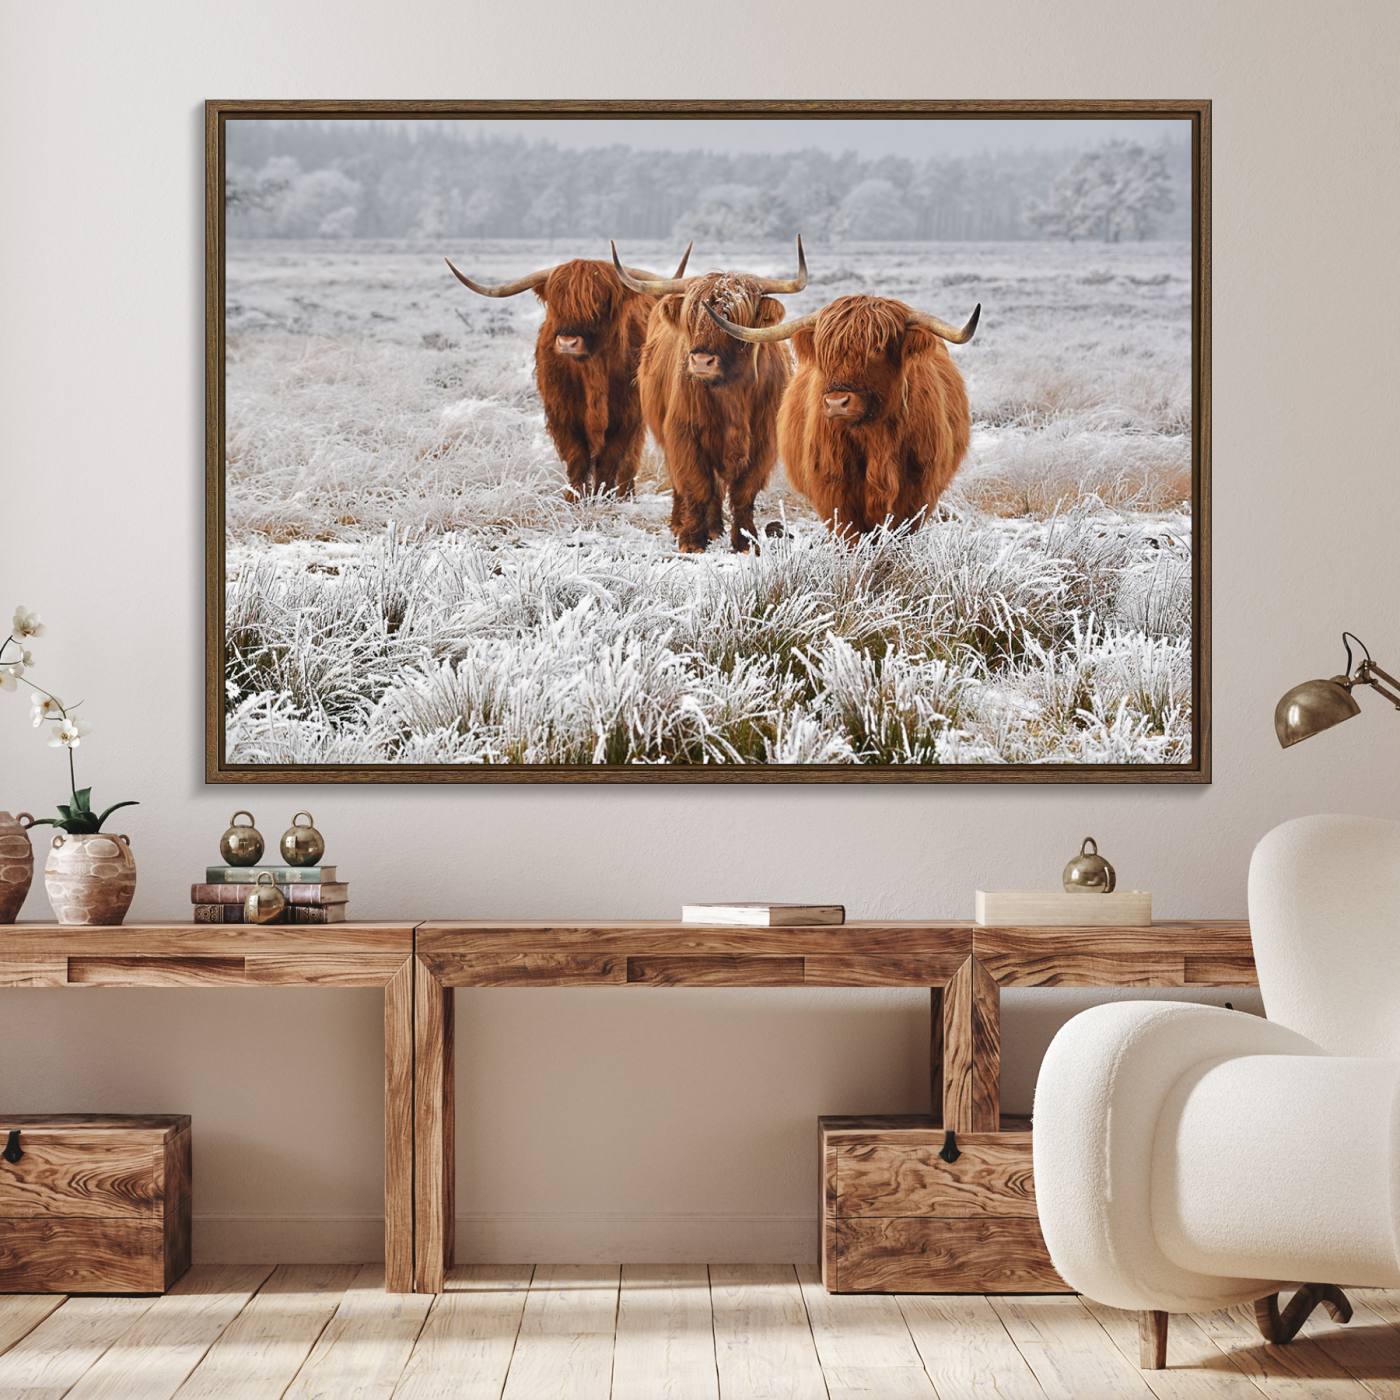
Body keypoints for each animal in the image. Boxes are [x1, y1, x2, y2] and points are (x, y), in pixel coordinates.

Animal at [445, 246, 691, 498]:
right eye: (556, 303)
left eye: (599, 301)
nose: (567, 343)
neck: (592, 372)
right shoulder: (562, 415)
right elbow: (577, 459)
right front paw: (574, 498)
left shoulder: (627, 415)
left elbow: (609, 460)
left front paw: (603, 496)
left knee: (630, 460)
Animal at [610, 238, 807, 553]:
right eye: (691, 317)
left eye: (733, 318)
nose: (701, 361)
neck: (732, 394)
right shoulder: (684, 434)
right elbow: (697, 485)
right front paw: (691, 540)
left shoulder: (763, 442)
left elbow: (743, 492)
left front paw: (746, 541)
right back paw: (684, 524)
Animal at [705, 293, 980, 536]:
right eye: (824, 351)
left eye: (877, 348)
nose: (837, 403)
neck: (876, 438)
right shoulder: (834, 491)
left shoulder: (917, 491)